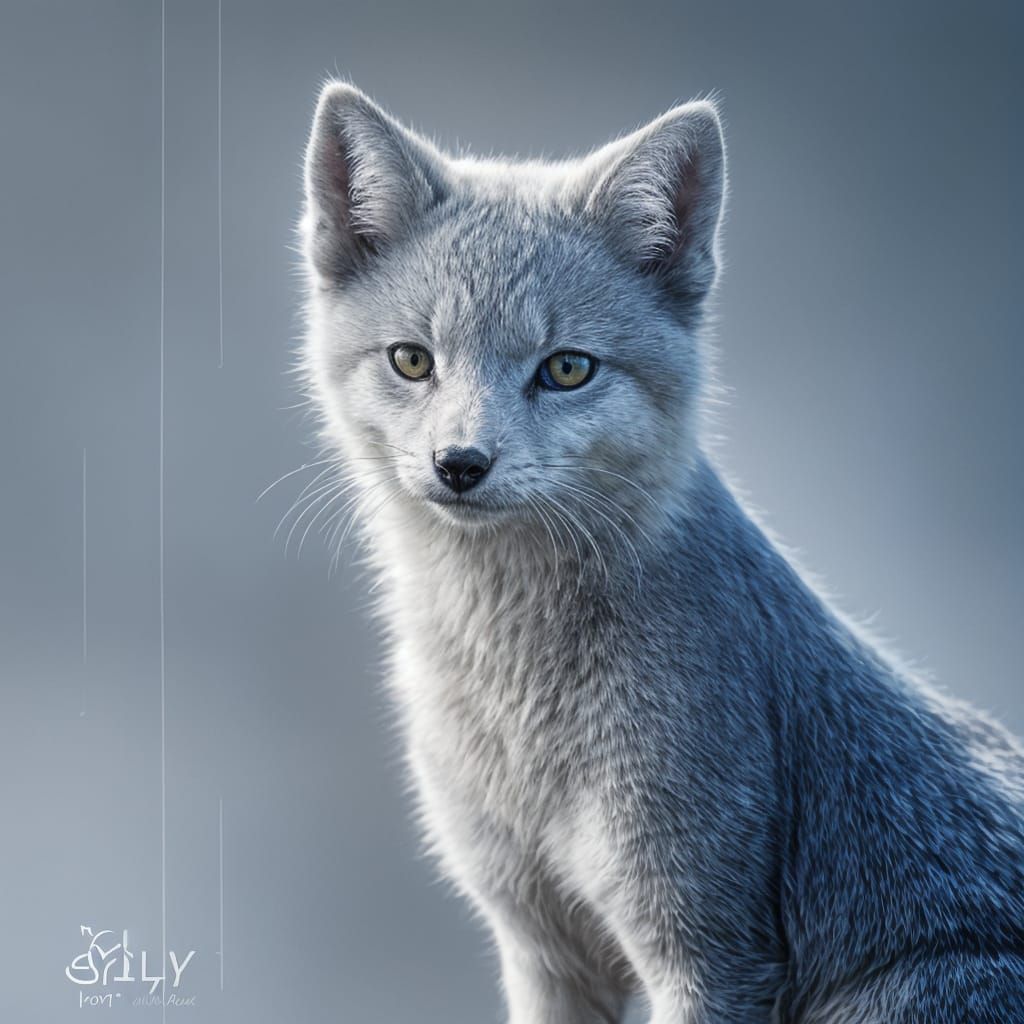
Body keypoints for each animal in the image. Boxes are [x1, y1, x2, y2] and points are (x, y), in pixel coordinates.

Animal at [297, 81, 1024, 1022]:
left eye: (567, 369)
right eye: (412, 360)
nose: (460, 463)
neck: (522, 711)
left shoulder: (709, 952)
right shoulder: (543, 946)